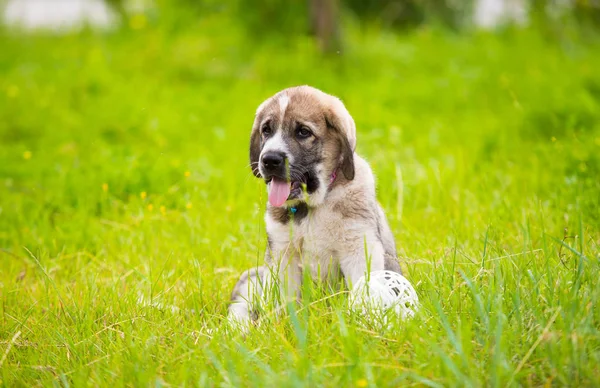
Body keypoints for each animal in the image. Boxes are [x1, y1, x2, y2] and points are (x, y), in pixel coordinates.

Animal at [227, 85, 400, 328]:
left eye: (303, 132)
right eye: (266, 130)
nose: (269, 159)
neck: (312, 207)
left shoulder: (359, 246)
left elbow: (364, 290)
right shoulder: (282, 255)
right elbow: (285, 300)